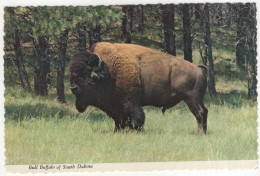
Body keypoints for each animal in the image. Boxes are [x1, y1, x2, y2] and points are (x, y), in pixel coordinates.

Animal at [68, 42, 208, 133]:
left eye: (87, 73)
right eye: (72, 73)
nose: (73, 87)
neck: (110, 71)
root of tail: (198, 68)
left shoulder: (131, 102)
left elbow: (136, 119)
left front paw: (135, 131)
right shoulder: (118, 108)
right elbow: (119, 121)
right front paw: (118, 131)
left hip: (191, 99)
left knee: (200, 113)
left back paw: (200, 133)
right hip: (196, 99)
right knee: (203, 112)